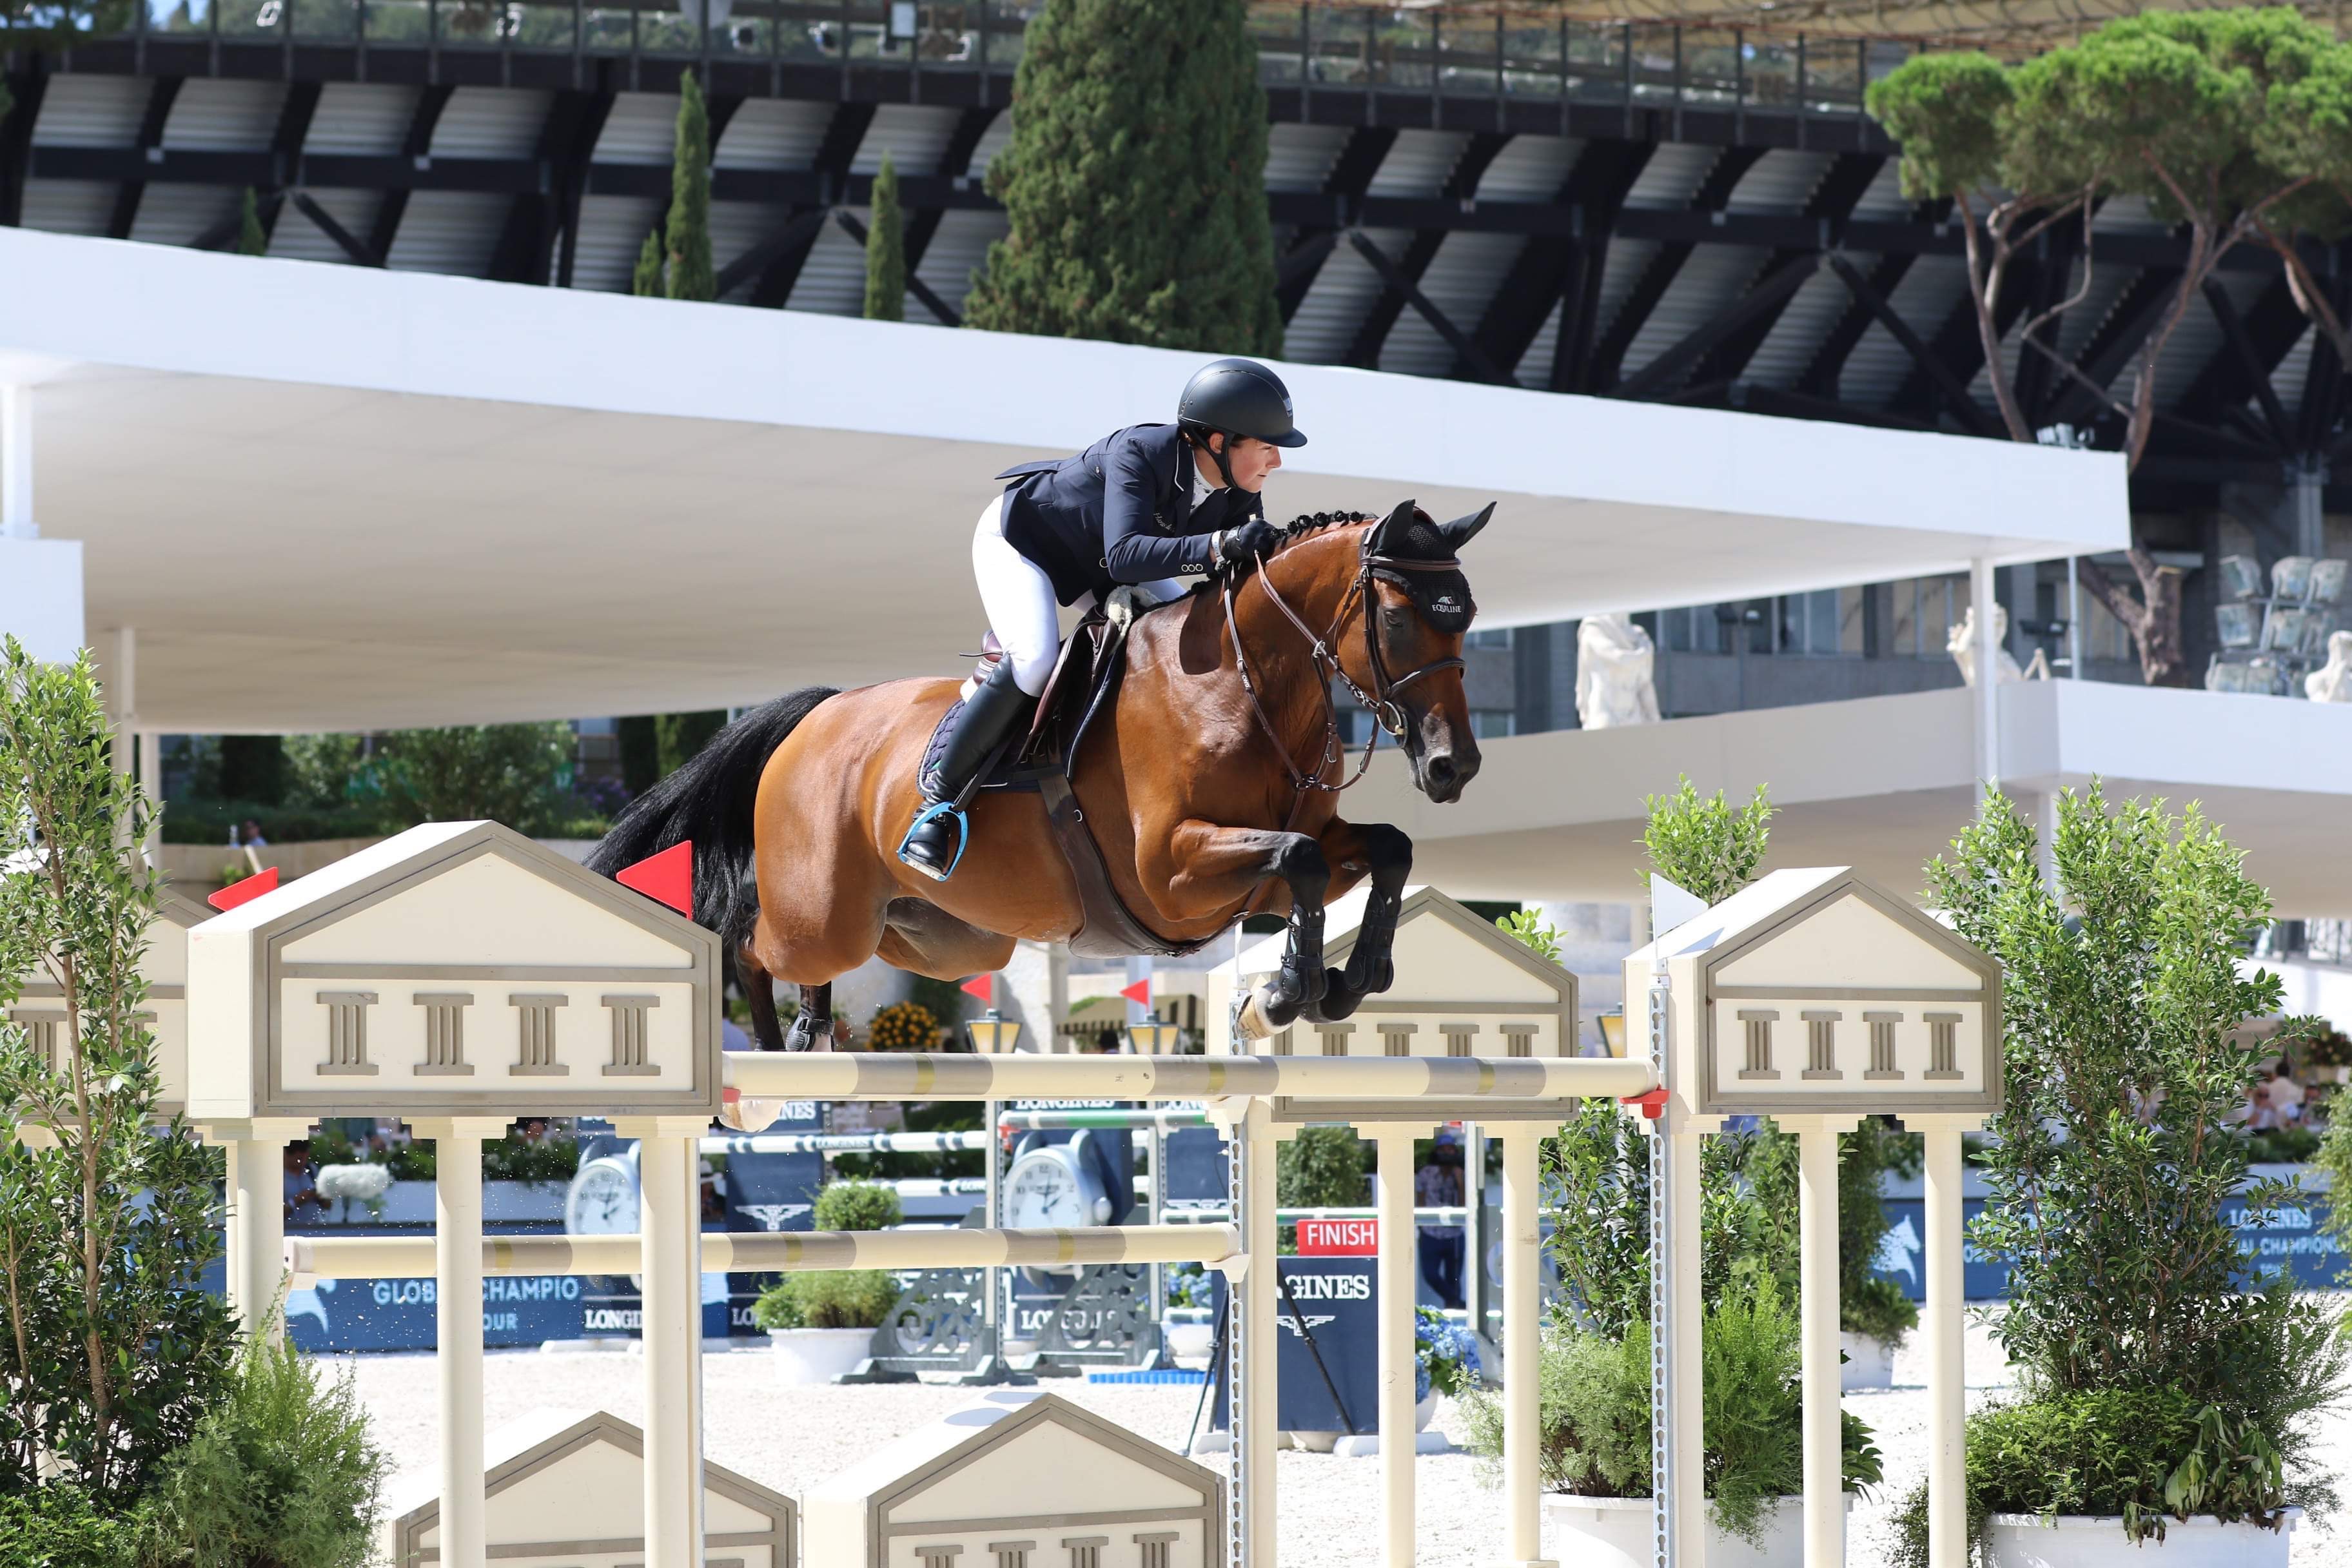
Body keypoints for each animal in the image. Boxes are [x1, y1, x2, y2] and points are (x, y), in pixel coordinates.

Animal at [597, 505, 1496, 1053]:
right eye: (1396, 618)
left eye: (1469, 618)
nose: (1454, 766)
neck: (1242, 685)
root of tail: (815, 715)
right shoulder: (1171, 873)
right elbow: (1301, 858)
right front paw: (1281, 994)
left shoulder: (1266, 865)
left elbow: (1384, 849)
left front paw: (1348, 980)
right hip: (823, 912)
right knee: (748, 937)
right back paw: (765, 1063)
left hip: (941, 932)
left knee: (830, 955)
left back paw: (812, 1029)